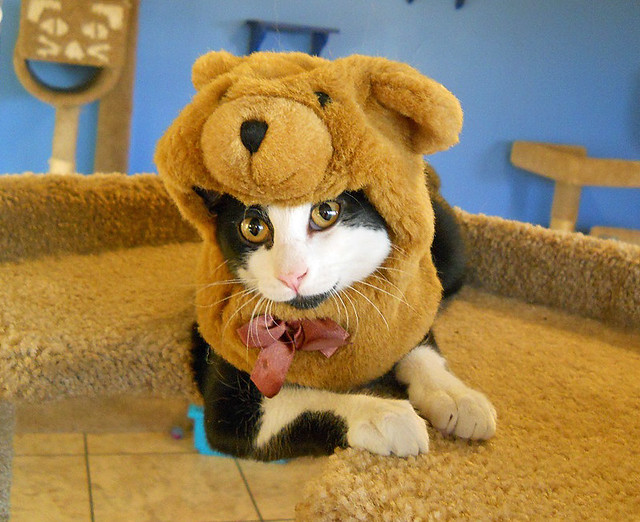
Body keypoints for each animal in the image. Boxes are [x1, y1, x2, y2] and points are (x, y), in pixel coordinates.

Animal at [192, 180, 498, 460]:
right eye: (253, 227)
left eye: (326, 212)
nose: (292, 274)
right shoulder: (227, 380)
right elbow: (297, 401)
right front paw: (384, 415)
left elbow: (415, 335)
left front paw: (456, 396)